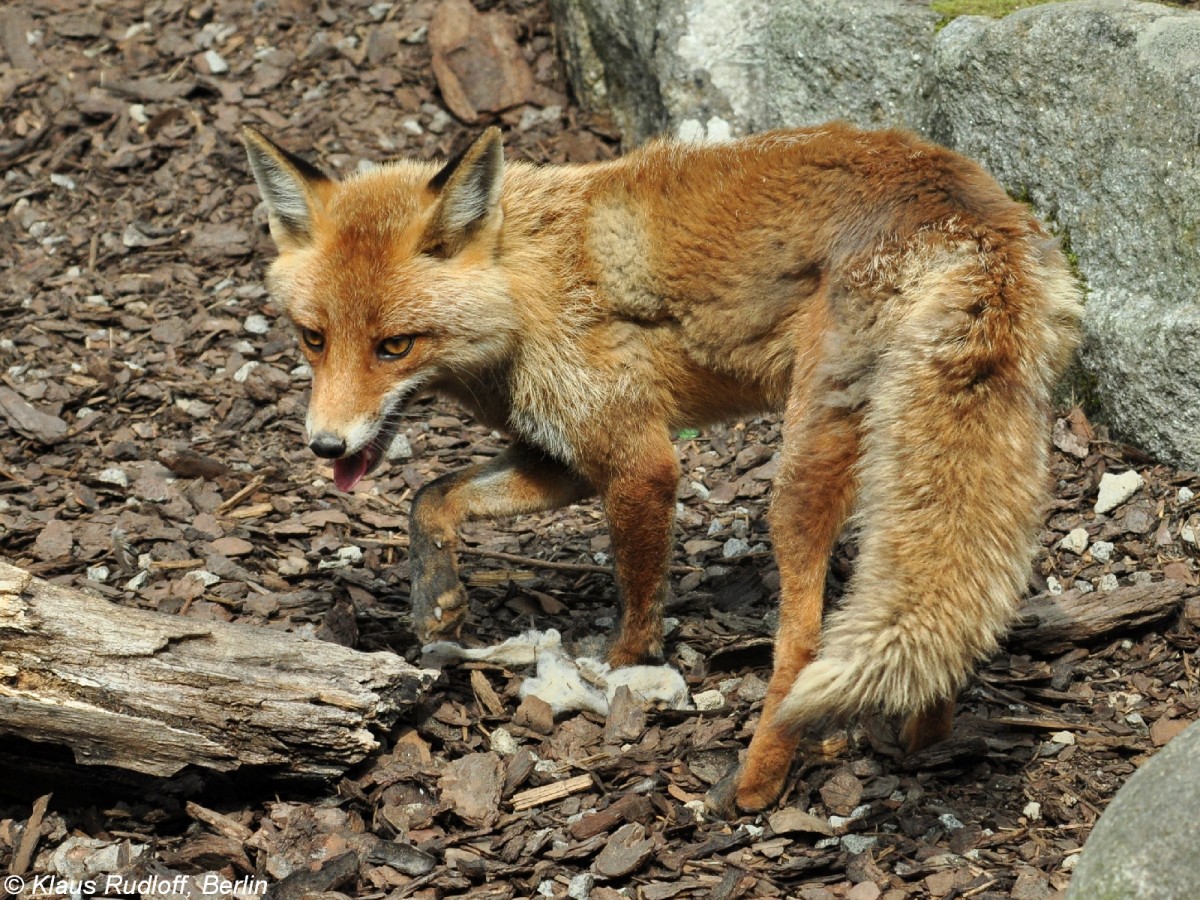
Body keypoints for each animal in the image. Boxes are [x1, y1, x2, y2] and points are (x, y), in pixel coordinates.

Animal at [248, 121, 1084, 811]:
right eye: (313, 338)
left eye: (395, 346)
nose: (325, 447)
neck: (527, 283)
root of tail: (961, 203)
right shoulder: (564, 457)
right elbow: (430, 497)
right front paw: (437, 603)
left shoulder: (639, 461)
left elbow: (638, 597)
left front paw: (620, 668)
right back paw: (926, 736)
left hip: (799, 472)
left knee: (803, 643)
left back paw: (754, 786)